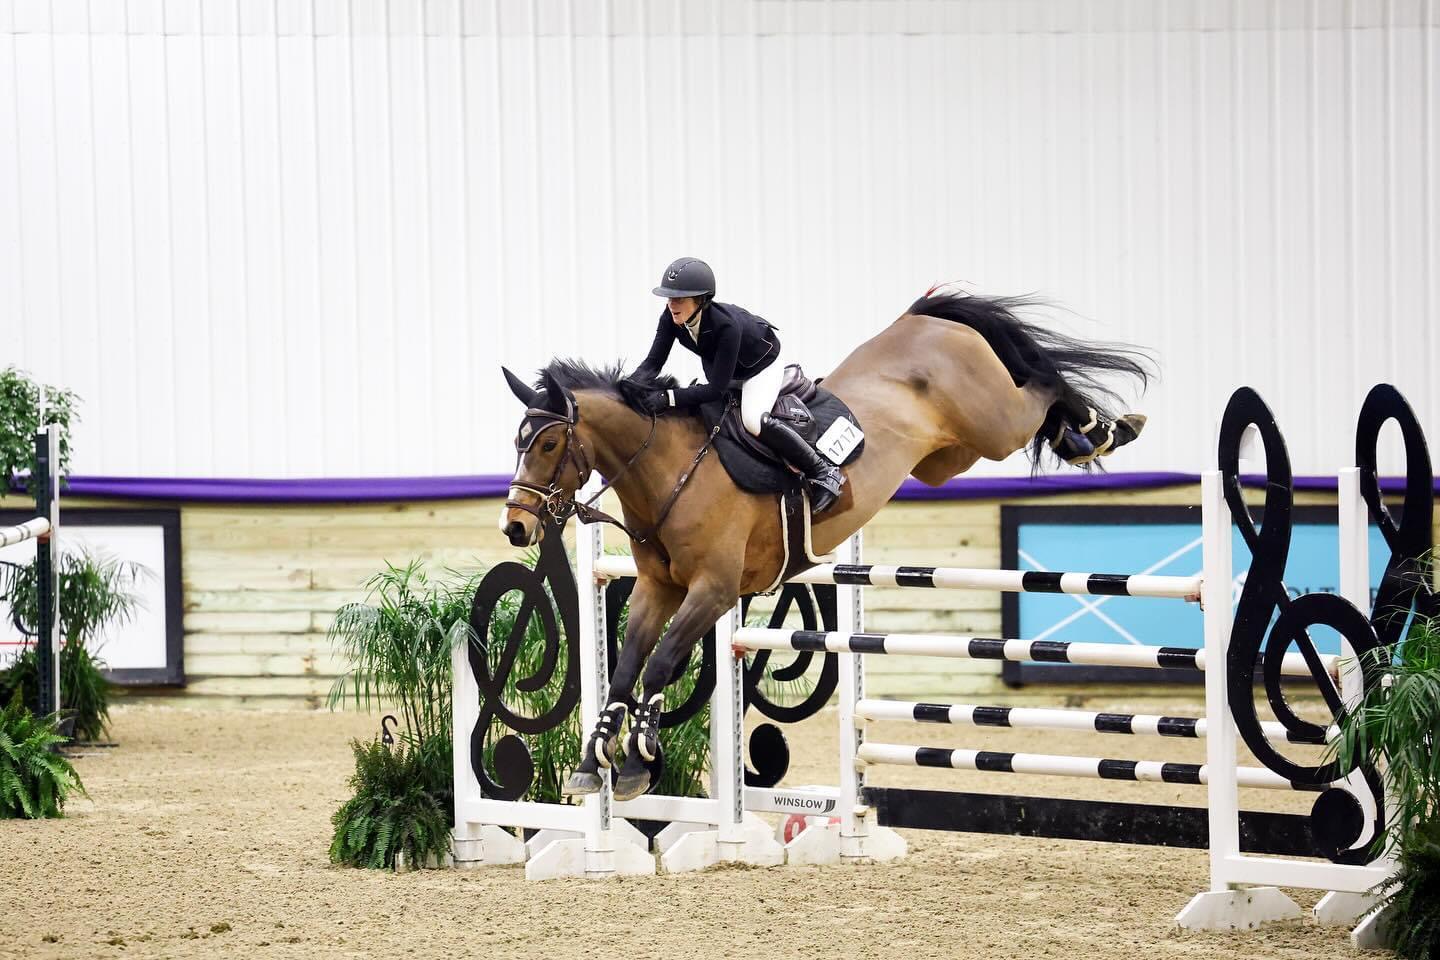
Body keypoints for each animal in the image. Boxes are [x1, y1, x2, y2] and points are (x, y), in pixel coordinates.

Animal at [498, 289, 1151, 800]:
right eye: (518, 441)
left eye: (549, 444)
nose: (516, 528)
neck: (671, 471)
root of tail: (922, 320)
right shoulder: (659, 589)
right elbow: (625, 671)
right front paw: (594, 763)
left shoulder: (713, 591)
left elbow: (658, 666)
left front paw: (636, 762)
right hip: (950, 456)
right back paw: (1088, 435)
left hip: (994, 424)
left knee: (1040, 386)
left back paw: (1102, 430)